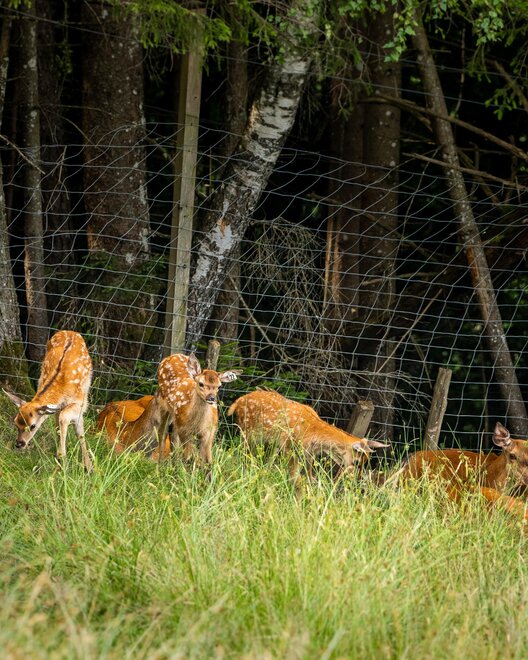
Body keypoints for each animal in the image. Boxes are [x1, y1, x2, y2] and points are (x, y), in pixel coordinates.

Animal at [3, 330, 93, 470]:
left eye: (32, 426)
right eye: (16, 422)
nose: (19, 444)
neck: (61, 390)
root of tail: (70, 331)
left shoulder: (80, 403)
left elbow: (75, 427)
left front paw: (85, 467)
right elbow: (59, 424)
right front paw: (60, 460)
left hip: (86, 387)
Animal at [227, 389, 389, 486]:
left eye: (366, 462)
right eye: (356, 462)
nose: (358, 479)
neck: (313, 432)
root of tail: (238, 401)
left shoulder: (308, 452)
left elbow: (309, 471)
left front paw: (313, 483)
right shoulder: (289, 444)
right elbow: (293, 471)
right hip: (247, 430)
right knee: (243, 452)